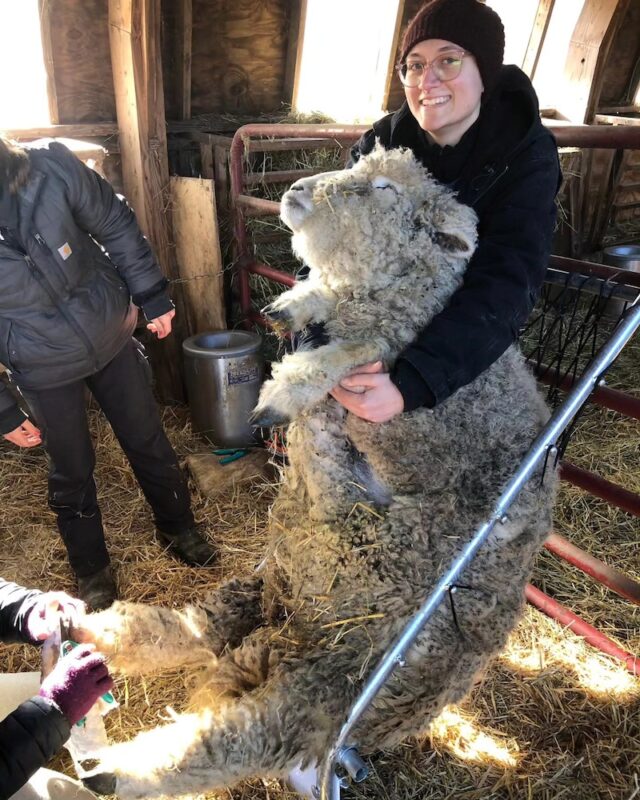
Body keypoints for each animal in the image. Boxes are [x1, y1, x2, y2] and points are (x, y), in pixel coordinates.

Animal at [74, 145, 556, 800]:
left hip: (339, 664)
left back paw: (119, 768)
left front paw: (283, 390)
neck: (409, 288)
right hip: (281, 580)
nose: (296, 190)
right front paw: (294, 306)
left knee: (240, 735)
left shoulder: (396, 346)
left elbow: (343, 354)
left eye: (383, 188)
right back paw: (96, 635)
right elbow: (323, 309)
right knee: (202, 629)